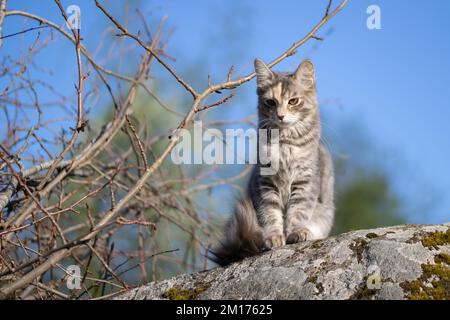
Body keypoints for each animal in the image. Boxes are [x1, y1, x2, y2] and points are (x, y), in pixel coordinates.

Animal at [211, 58, 334, 266]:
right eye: (271, 102)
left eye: (293, 101)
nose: (281, 115)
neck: (285, 144)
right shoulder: (265, 183)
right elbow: (270, 213)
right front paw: (274, 237)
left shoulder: (305, 181)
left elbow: (298, 211)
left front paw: (296, 233)